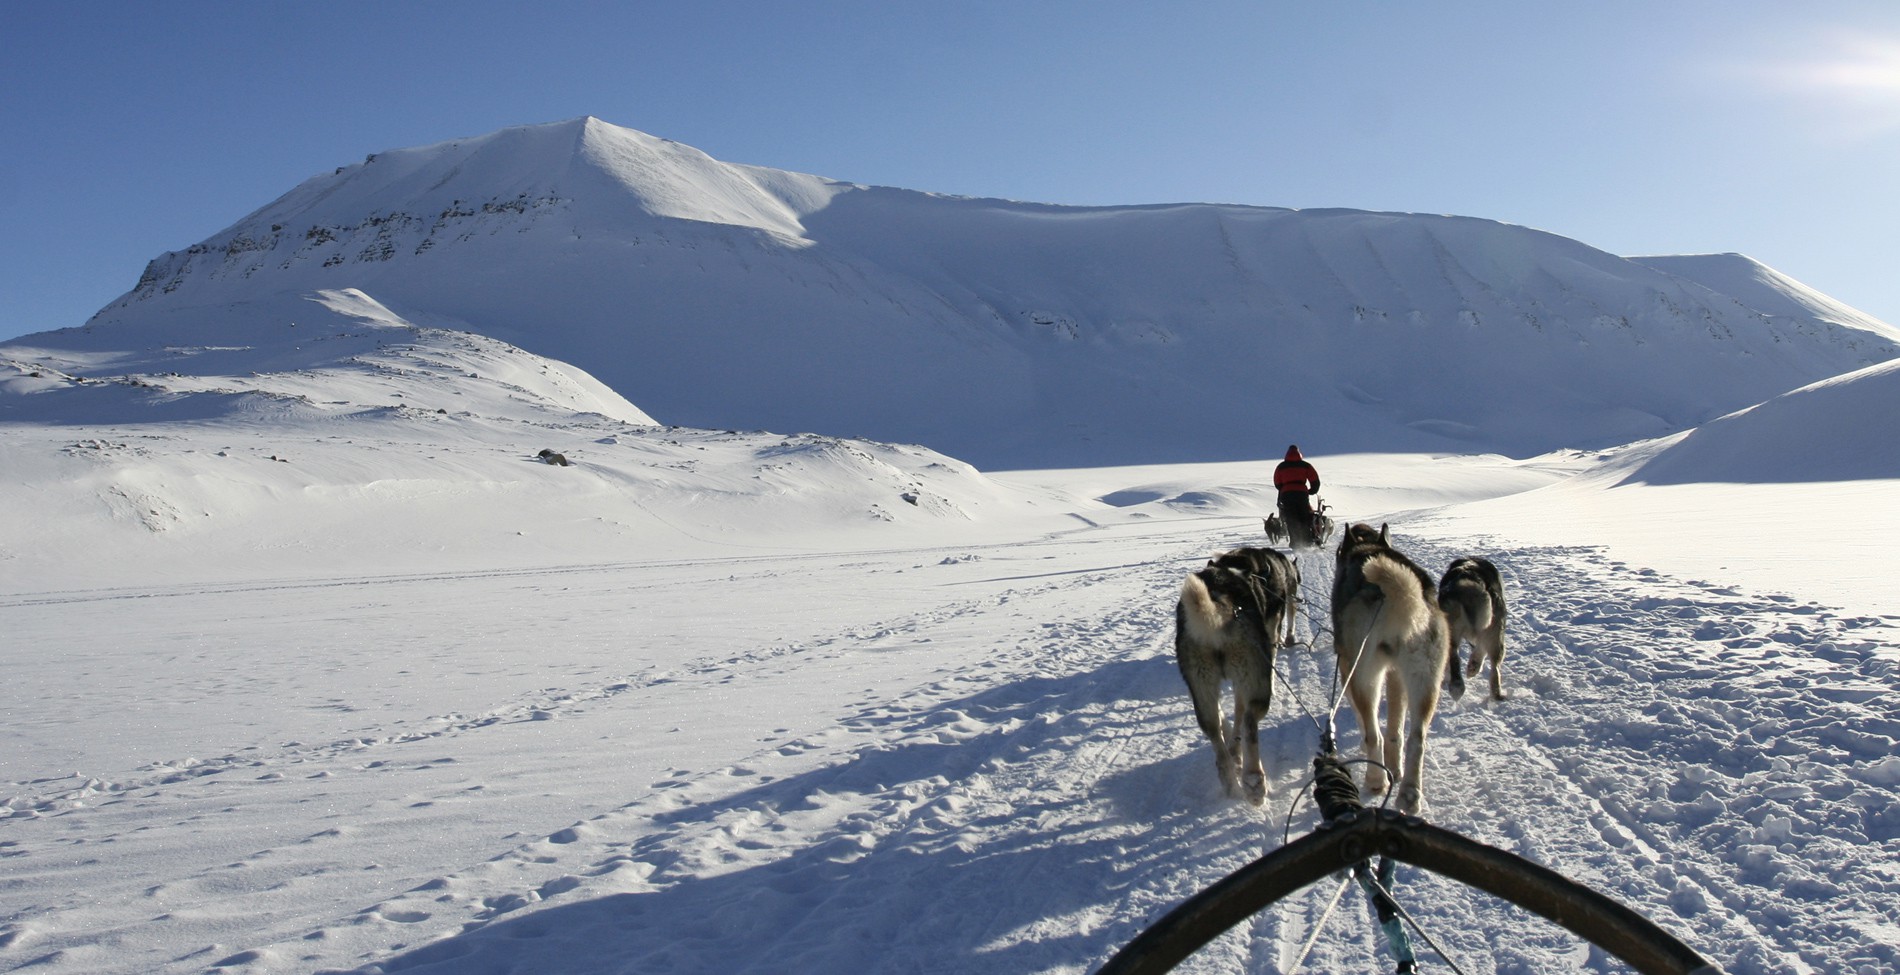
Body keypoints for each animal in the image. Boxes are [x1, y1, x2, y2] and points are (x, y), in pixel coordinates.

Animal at [1178, 543, 1299, 802]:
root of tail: (1219, 599)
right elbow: (1240, 713)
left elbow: (1227, 717)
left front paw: (1233, 750)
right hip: (1256, 678)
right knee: (1250, 722)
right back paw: (1254, 781)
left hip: (1201, 684)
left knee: (1214, 730)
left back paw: (1229, 779)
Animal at [1337, 524, 1451, 813]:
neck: (1367, 547)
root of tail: (1397, 597)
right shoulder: (1396, 676)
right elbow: (1395, 729)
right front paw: (1395, 767)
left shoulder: (1347, 668)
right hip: (1424, 682)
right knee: (1416, 739)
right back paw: (1409, 792)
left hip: (1364, 677)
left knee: (1373, 733)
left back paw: (1376, 780)